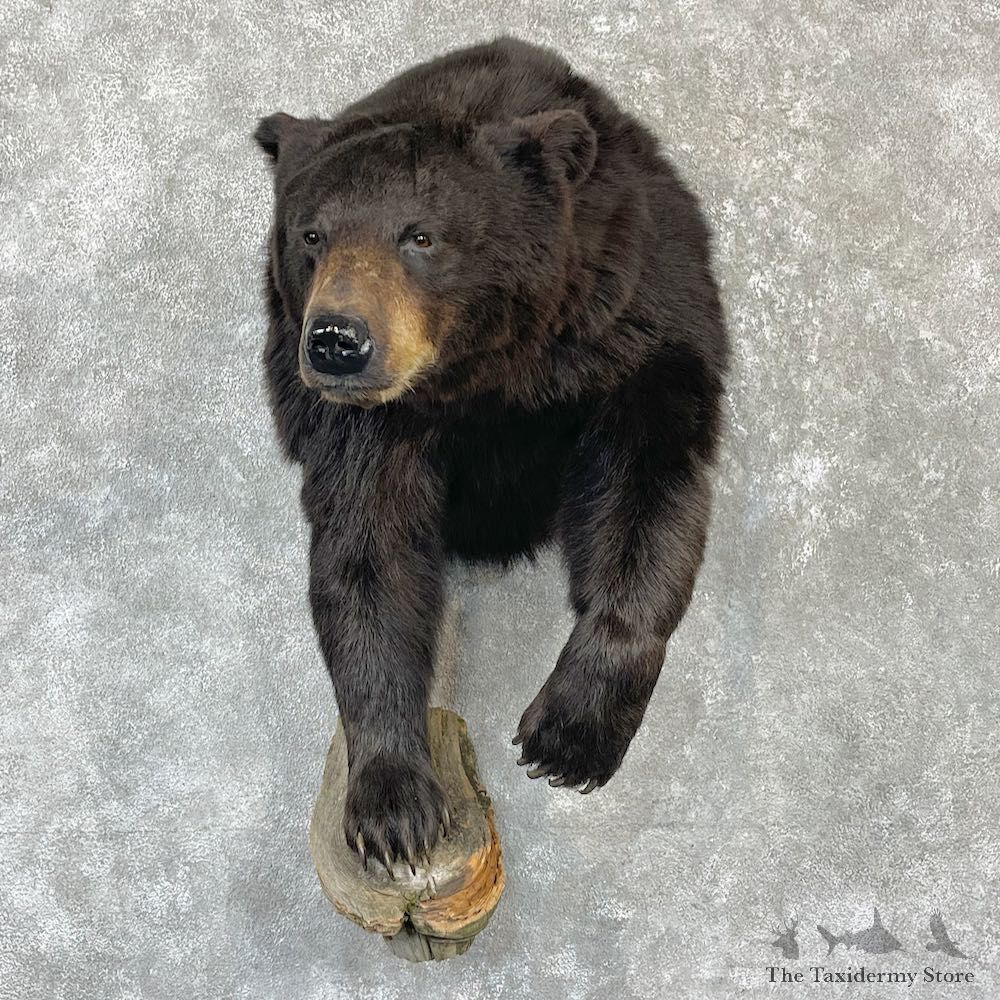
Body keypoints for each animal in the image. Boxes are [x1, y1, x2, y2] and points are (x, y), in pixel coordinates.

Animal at [254, 36, 729, 873]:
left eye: (419, 234)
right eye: (311, 236)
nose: (338, 341)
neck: (482, 371)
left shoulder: (634, 330)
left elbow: (645, 496)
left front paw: (568, 735)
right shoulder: (362, 431)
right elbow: (369, 560)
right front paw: (393, 808)